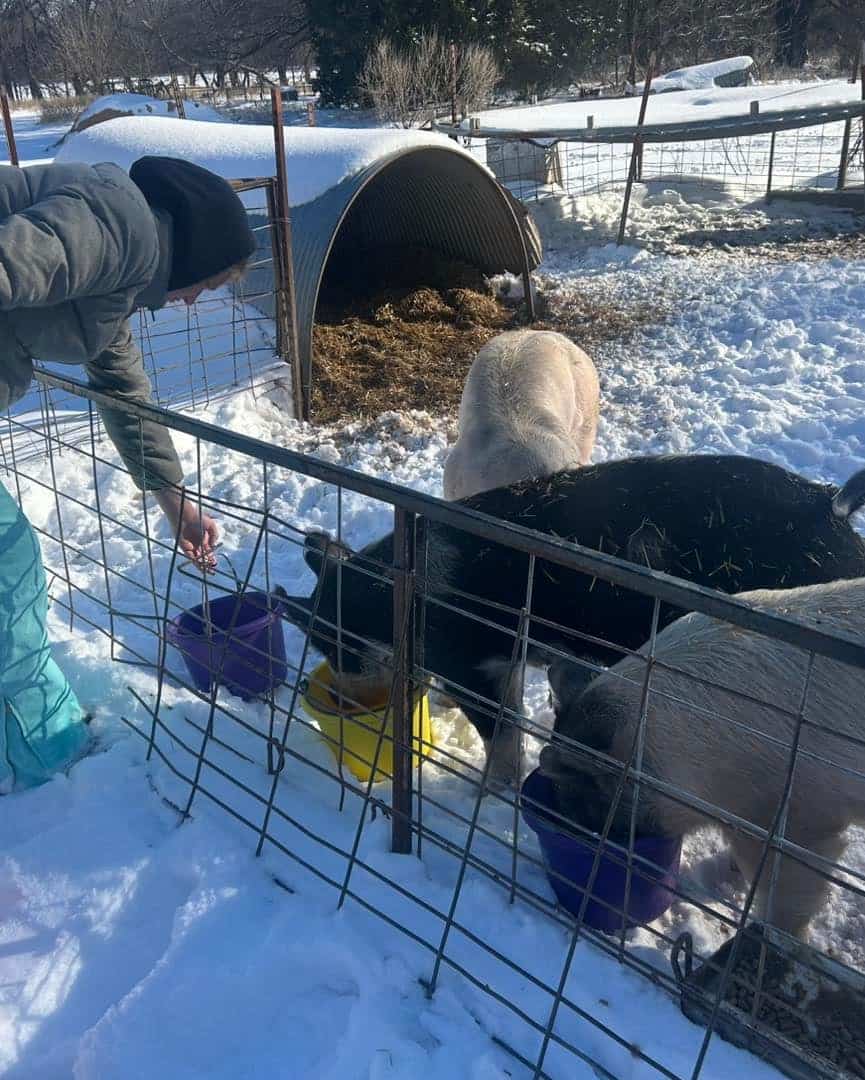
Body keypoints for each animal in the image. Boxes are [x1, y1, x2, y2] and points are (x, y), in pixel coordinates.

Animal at [283, 454, 865, 784]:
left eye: (337, 649)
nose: (341, 698)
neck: (399, 602)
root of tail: (832, 506)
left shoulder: (472, 663)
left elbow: (502, 731)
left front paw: (493, 790)